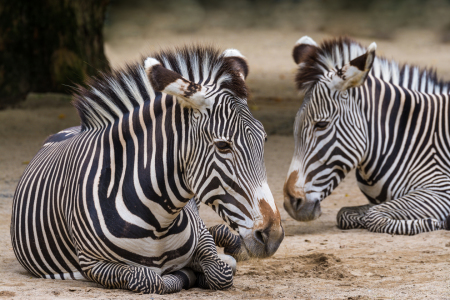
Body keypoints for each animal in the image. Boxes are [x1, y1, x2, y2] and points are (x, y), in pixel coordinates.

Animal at [10, 45, 284, 294]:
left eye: (264, 139)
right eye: (223, 145)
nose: (272, 235)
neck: (158, 222)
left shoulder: (201, 236)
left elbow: (219, 271)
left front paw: (206, 267)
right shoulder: (92, 263)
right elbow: (151, 279)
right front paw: (187, 274)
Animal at [284, 36, 450, 236]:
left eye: (321, 124)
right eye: (295, 127)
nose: (291, 202)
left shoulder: (440, 189)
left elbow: (374, 216)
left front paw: (435, 222)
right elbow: (345, 213)